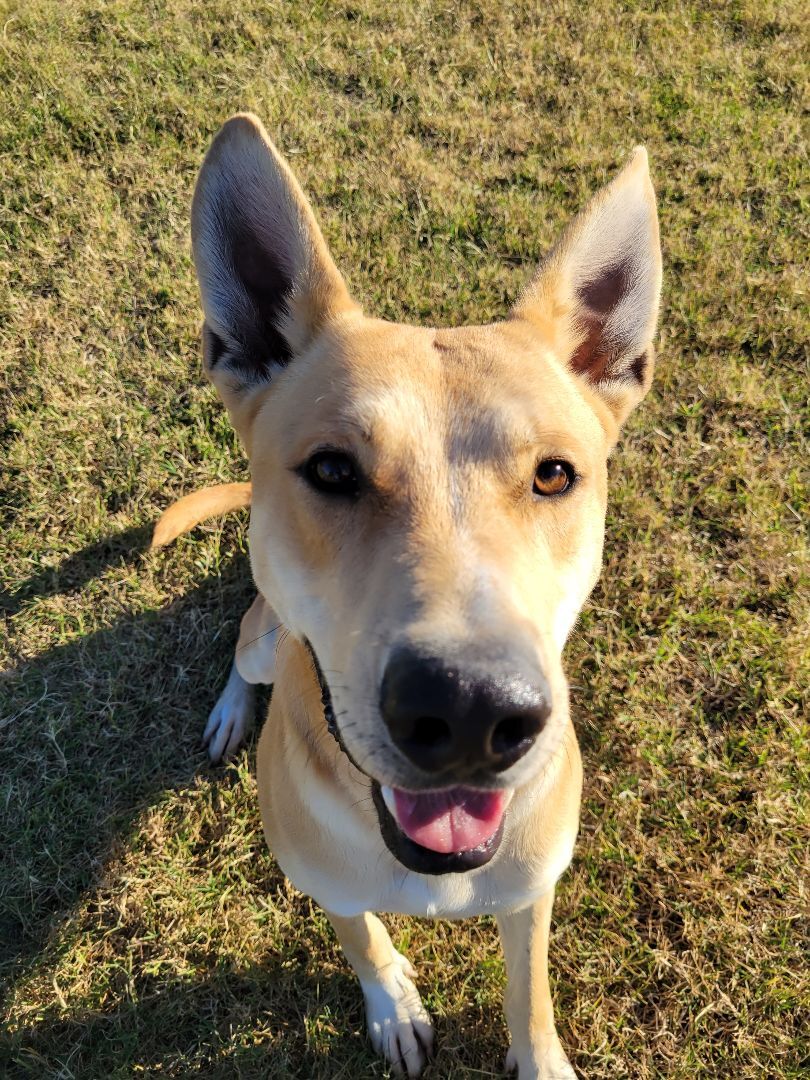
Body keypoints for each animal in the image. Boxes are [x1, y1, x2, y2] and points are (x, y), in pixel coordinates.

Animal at [155, 113, 660, 1075]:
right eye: (331, 471)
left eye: (554, 475)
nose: (468, 712)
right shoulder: (328, 886)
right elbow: (364, 940)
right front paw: (392, 1006)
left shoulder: (533, 891)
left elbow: (530, 989)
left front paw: (540, 1056)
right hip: (265, 636)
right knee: (245, 643)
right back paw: (234, 710)